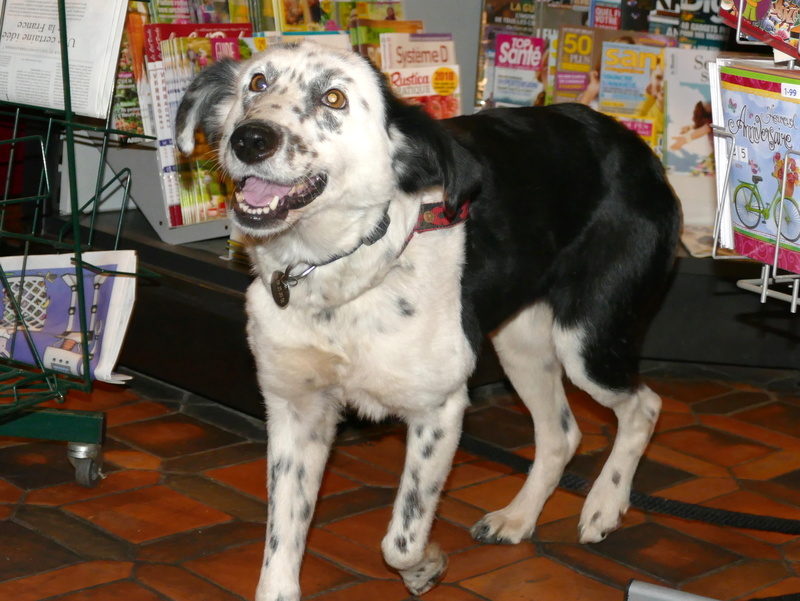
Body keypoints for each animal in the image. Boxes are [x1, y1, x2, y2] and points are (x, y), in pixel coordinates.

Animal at [175, 42, 680, 600]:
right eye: (257, 83)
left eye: (335, 97)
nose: (250, 139)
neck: (337, 274)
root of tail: (637, 149)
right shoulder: (296, 411)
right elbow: (281, 549)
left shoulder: (439, 410)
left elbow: (401, 540)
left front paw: (425, 567)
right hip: (520, 344)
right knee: (561, 434)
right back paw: (517, 517)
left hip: (586, 341)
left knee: (644, 405)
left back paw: (603, 507)